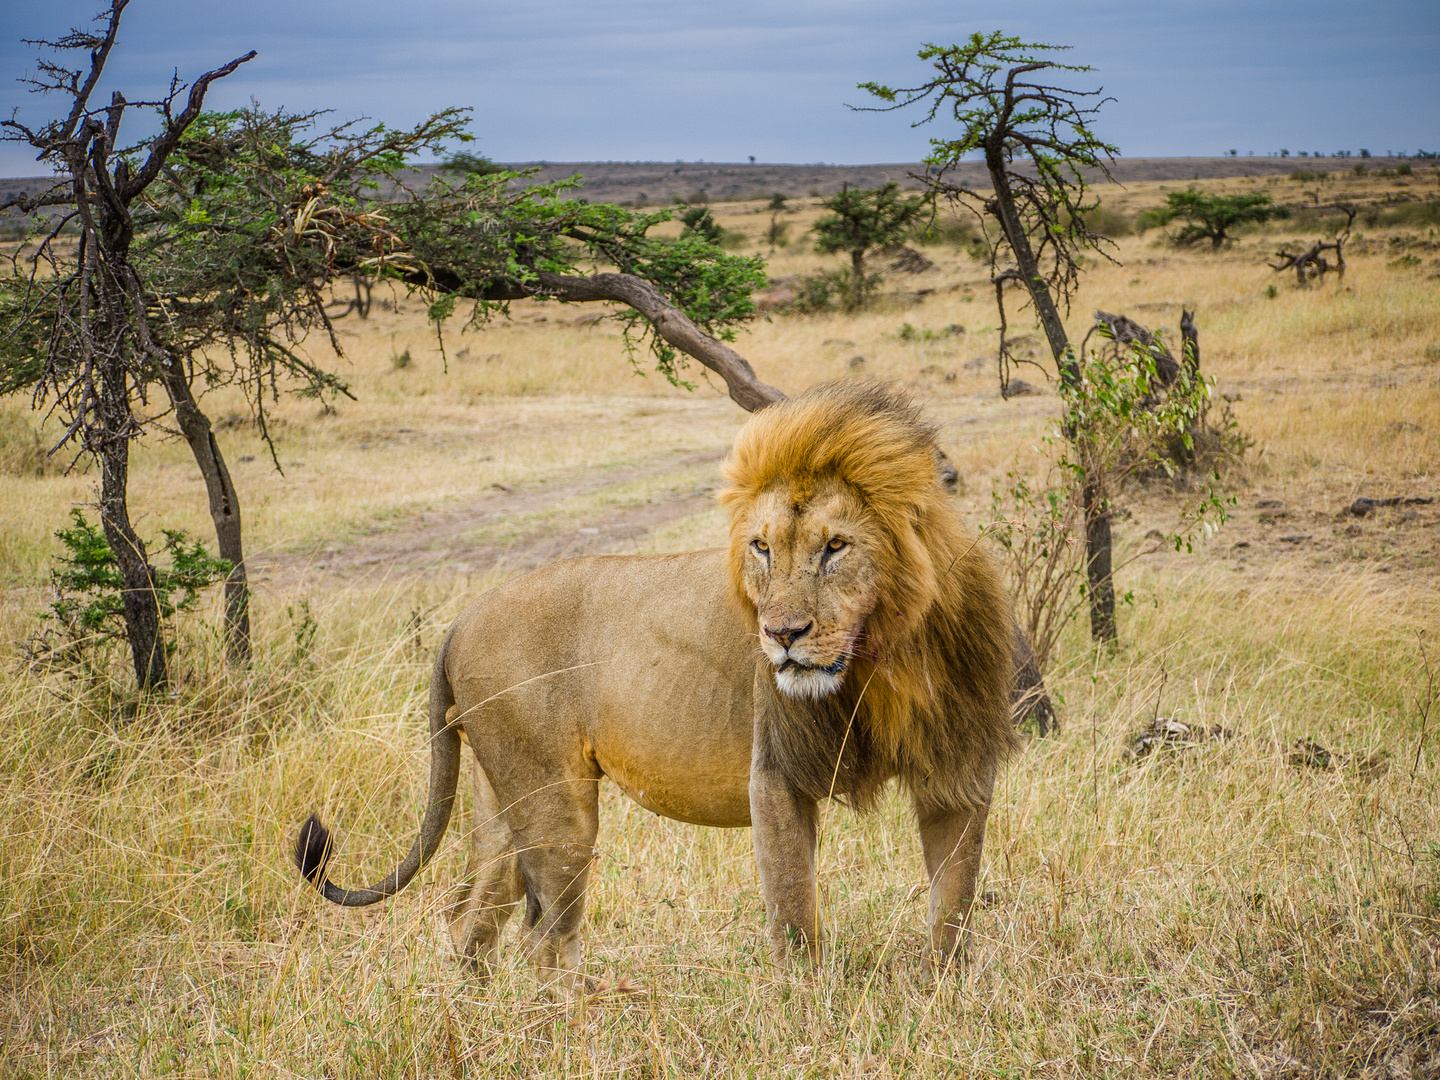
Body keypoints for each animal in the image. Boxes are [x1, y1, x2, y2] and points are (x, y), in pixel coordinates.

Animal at [295, 385, 1013, 984]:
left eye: (835, 546)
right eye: (761, 547)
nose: (781, 634)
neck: (881, 660)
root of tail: (461, 618)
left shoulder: (955, 767)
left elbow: (954, 900)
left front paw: (945, 993)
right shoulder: (776, 773)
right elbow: (793, 914)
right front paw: (809, 1008)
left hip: (498, 797)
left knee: (470, 914)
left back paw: (474, 1009)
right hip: (554, 803)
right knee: (546, 938)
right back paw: (580, 1015)